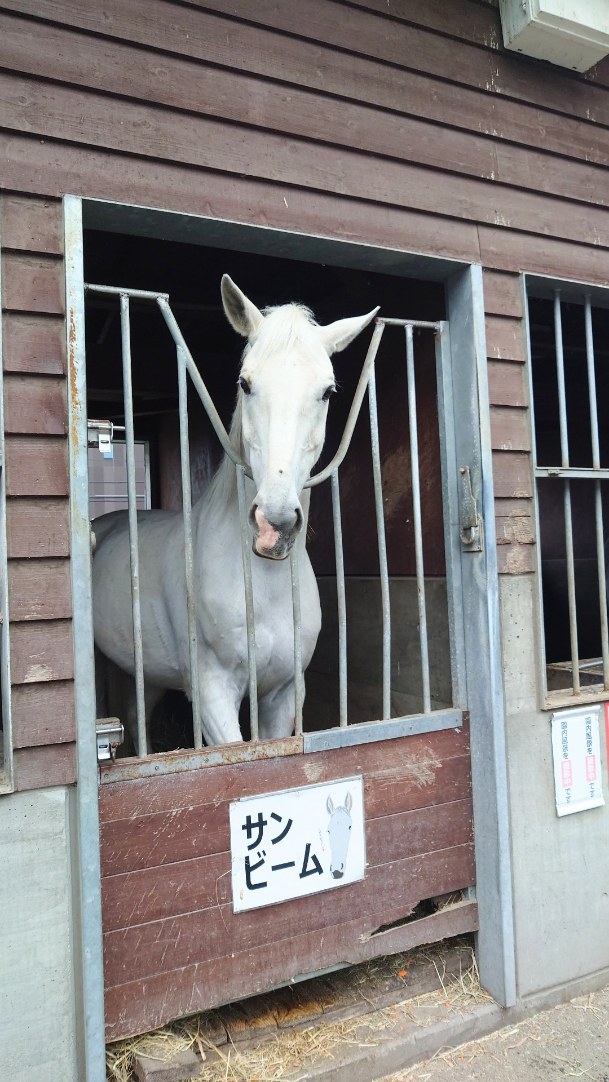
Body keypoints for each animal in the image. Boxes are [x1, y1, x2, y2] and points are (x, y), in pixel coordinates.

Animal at [93, 276, 378, 753]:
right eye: (245, 383)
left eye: (327, 391)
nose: (274, 525)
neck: (263, 587)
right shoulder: (213, 695)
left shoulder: (284, 693)